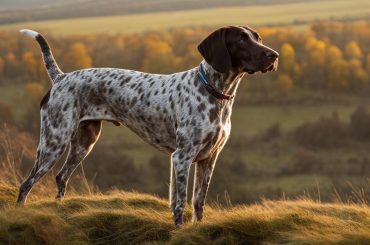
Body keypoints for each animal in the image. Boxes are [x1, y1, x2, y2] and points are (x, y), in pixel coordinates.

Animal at [17, 25, 278, 227]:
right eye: (241, 40)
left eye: (258, 38)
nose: (274, 55)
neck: (213, 91)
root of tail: (61, 78)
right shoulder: (182, 158)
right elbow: (180, 202)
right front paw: (179, 230)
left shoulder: (208, 158)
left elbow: (198, 202)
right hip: (53, 143)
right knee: (26, 184)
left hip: (84, 143)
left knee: (61, 177)